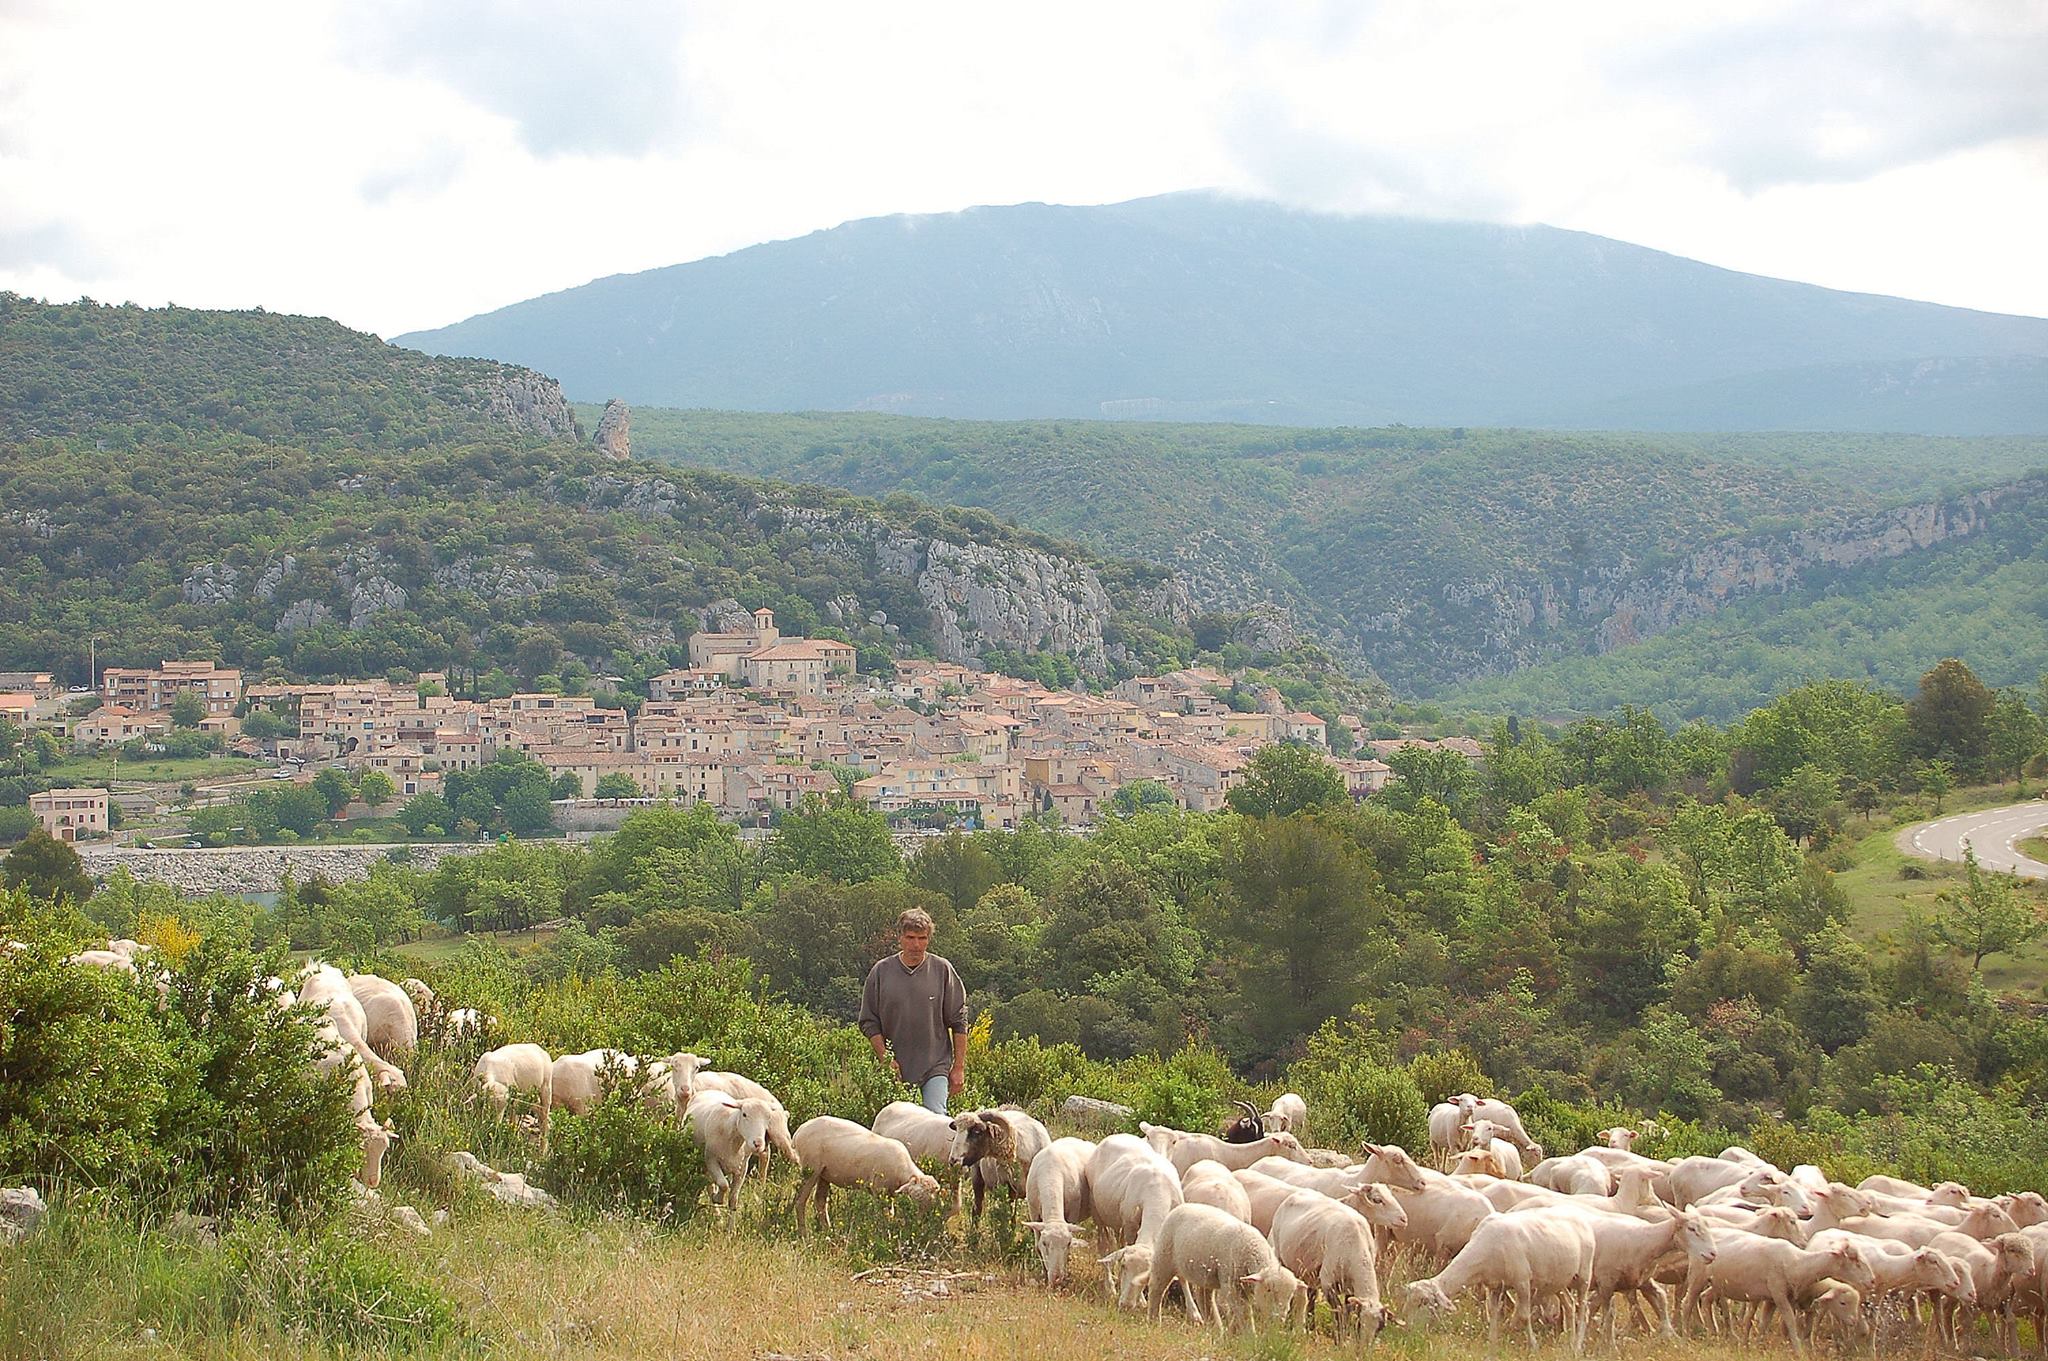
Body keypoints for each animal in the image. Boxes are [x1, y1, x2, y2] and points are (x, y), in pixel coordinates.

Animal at [790, 1113, 942, 1227]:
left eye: (931, 1203)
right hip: (811, 1169)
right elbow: (885, 1215)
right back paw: (803, 1234)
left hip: (824, 1174)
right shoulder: (879, 1190)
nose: (918, 1223)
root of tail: (800, 1130)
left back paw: (828, 1230)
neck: (902, 1168)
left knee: (820, 1201)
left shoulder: (889, 1193)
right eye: (914, 1197)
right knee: (800, 1201)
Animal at [1019, 1137, 1097, 1285]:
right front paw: (1045, 1274)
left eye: (1068, 1243)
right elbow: (1037, 1247)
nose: (1056, 1279)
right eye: (1045, 1243)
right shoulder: (1034, 1213)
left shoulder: (1072, 1213)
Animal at [1269, 1187, 1400, 1334]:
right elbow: (1338, 1312)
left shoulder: (1350, 1288)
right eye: (1360, 1324)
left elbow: (1347, 1311)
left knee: (1311, 1294)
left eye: (1380, 1328)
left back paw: (1310, 1326)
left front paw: (1346, 1334)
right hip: (1283, 1258)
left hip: (1311, 1271)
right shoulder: (1328, 1282)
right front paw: (1340, 1337)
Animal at [1409, 1203, 1597, 1350]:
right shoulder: (1495, 1285)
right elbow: (1493, 1313)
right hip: (1558, 1279)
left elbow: (1524, 1315)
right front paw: (1492, 1345)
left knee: (1583, 1310)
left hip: (1583, 1276)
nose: (1409, 1329)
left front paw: (1533, 1345)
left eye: (1423, 1302)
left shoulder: (1522, 1281)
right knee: (1570, 1305)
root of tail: (1580, 1217)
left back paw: (1577, 1346)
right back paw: (1570, 1344)